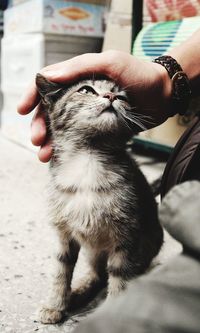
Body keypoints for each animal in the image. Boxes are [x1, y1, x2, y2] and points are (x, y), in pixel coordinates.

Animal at [35, 74, 162, 322]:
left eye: (122, 97)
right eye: (86, 90)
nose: (111, 96)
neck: (88, 161)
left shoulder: (128, 239)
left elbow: (120, 279)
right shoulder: (64, 234)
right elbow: (61, 269)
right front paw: (55, 304)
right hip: (93, 251)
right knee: (98, 274)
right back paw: (77, 292)